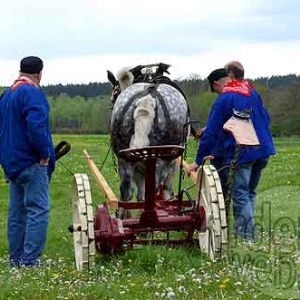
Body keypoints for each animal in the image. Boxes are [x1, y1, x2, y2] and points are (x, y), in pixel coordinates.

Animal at [107, 67, 188, 207]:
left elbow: (139, 196)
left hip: (124, 159)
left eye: (113, 97)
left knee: (126, 193)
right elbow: (167, 190)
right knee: (152, 191)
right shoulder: (172, 164)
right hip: (161, 161)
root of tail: (148, 98)